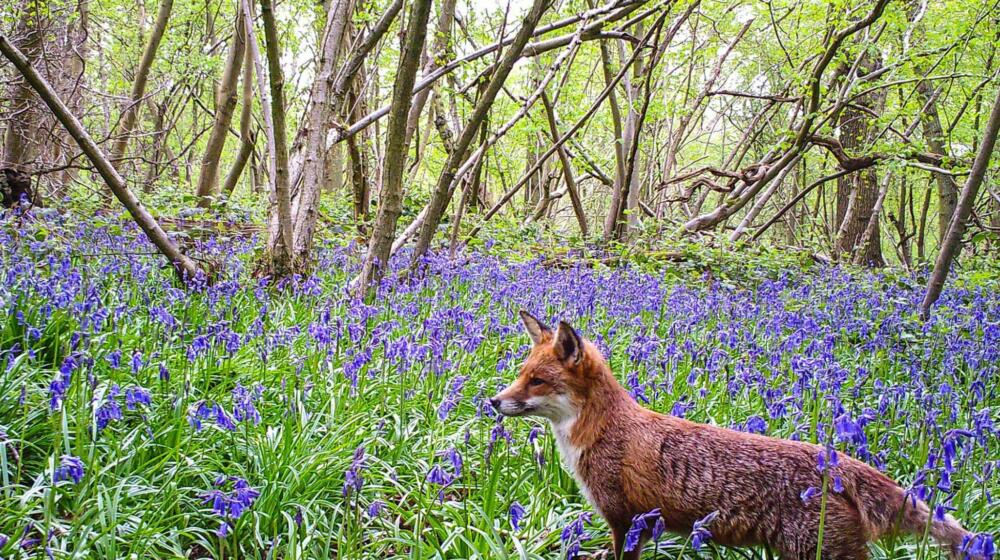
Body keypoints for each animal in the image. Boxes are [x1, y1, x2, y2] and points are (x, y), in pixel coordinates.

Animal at [488, 310, 980, 560]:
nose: (493, 401)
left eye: (537, 382)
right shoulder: (640, 525)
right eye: (521, 375)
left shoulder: (627, 522)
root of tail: (840, 464)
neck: (604, 430)